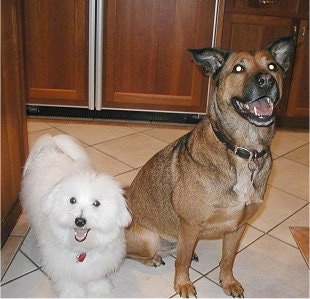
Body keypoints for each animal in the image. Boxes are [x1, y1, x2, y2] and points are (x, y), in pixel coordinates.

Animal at [20, 135, 132, 298]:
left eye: (96, 203)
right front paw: (72, 293)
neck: (81, 249)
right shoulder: (61, 264)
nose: (79, 221)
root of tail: (53, 147)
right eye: (72, 200)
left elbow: (95, 277)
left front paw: (98, 289)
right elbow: (68, 281)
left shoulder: (97, 264)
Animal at [124, 35, 294, 298]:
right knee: (134, 255)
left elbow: (228, 259)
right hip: (149, 238)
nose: (266, 80)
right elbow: (181, 262)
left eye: (272, 66)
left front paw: (228, 282)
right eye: (238, 69)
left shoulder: (238, 227)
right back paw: (153, 259)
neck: (243, 150)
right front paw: (183, 284)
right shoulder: (190, 224)